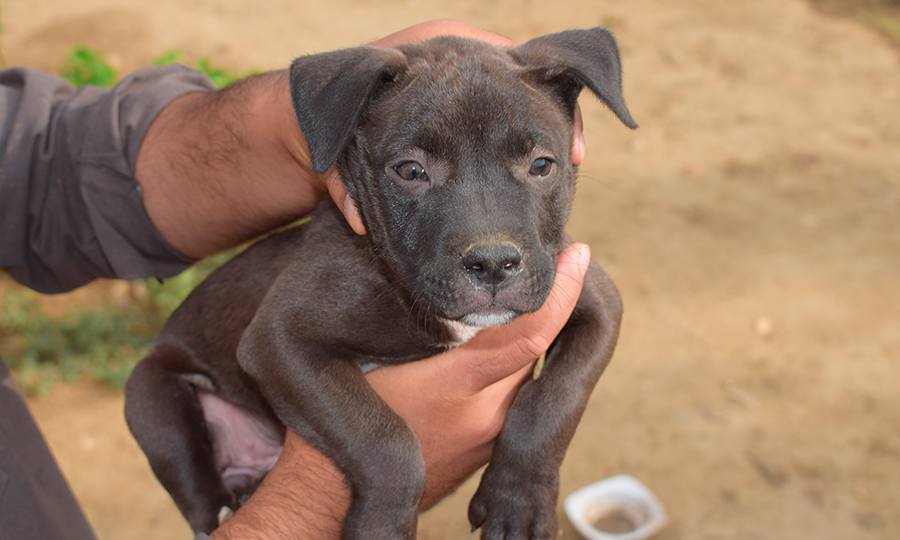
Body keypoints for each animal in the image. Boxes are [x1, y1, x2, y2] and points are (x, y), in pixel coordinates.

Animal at [125, 27, 632, 536]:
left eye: (542, 165)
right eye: (410, 171)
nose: (491, 264)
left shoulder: (593, 298)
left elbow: (553, 400)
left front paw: (518, 501)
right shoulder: (279, 341)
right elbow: (385, 441)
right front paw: (382, 527)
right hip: (151, 396)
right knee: (193, 481)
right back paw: (224, 509)